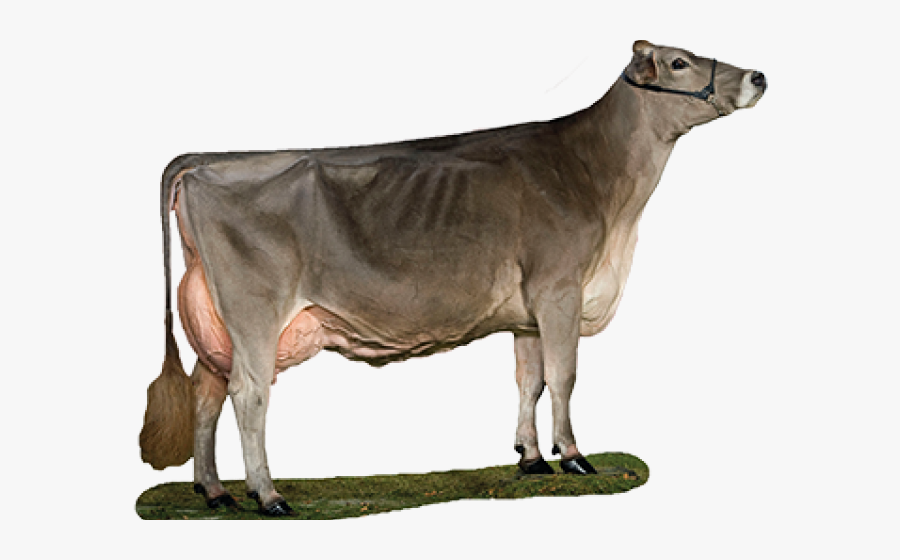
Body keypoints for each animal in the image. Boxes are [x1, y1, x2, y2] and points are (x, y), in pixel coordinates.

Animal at [140, 40, 766, 516]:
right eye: (679, 62)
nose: (758, 75)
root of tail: (205, 160)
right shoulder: (560, 289)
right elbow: (564, 378)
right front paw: (573, 456)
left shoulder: (529, 311)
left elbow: (530, 381)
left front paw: (531, 459)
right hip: (254, 309)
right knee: (249, 394)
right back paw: (267, 495)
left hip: (214, 317)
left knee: (207, 393)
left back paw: (215, 492)